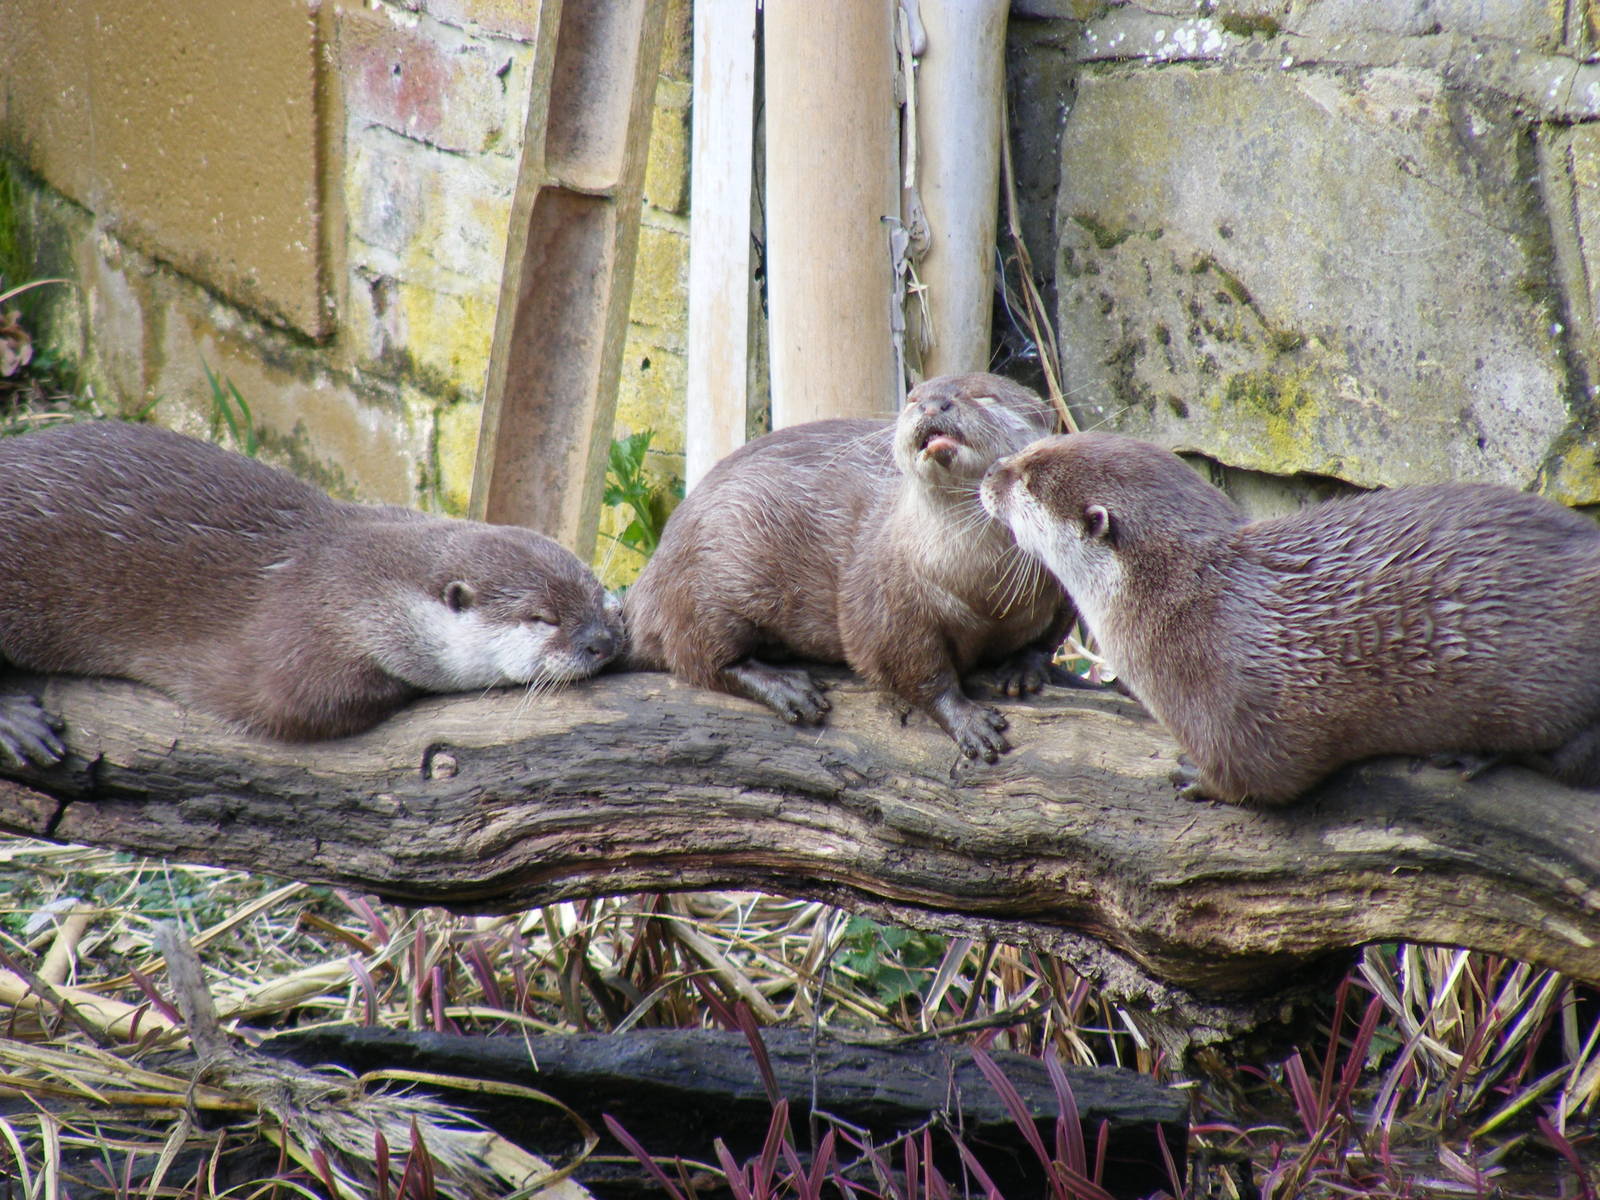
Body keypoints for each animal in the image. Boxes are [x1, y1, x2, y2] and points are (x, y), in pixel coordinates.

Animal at [0, 421, 622, 765]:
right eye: (543, 617)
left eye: (595, 592)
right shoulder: (299, 636)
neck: (364, 586)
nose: (602, 641)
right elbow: (302, 706)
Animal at [623, 372, 1080, 762]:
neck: (984, 586)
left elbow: (1054, 632)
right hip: (708, 574)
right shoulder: (890, 598)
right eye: (912, 398)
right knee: (698, 655)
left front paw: (1025, 666)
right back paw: (785, 686)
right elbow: (914, 670)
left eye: (984, 396)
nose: (932, 403)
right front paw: (966, 719)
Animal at [980, 430, 1600, 805]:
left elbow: (1261, 777)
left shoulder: (1229, 704)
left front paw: (1195, 779)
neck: (1181, 601)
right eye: (1033, 448)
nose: (989, 473)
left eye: (1028, 479)